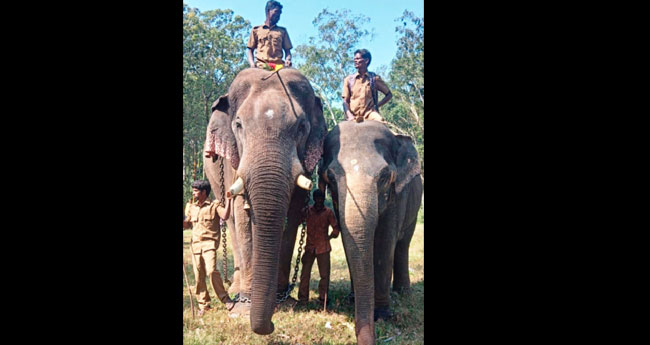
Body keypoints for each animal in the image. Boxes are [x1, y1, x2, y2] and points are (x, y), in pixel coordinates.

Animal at [201, 67, 324, 334]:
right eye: (238, 125)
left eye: (302, 127)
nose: (271, 325)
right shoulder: (235, 162)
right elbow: (243, 215)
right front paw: (244, 307)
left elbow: (293, 215)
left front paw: (284, 301)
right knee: (232, 223)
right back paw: (237, 289)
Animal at [318, 119, 420, 344]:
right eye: (331, 177)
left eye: (384, 176)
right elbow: (348, 241)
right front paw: (353, 300)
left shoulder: (396, 196)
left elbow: (383, 244)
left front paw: (381, 315)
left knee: (402, 245)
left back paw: (403, 293)